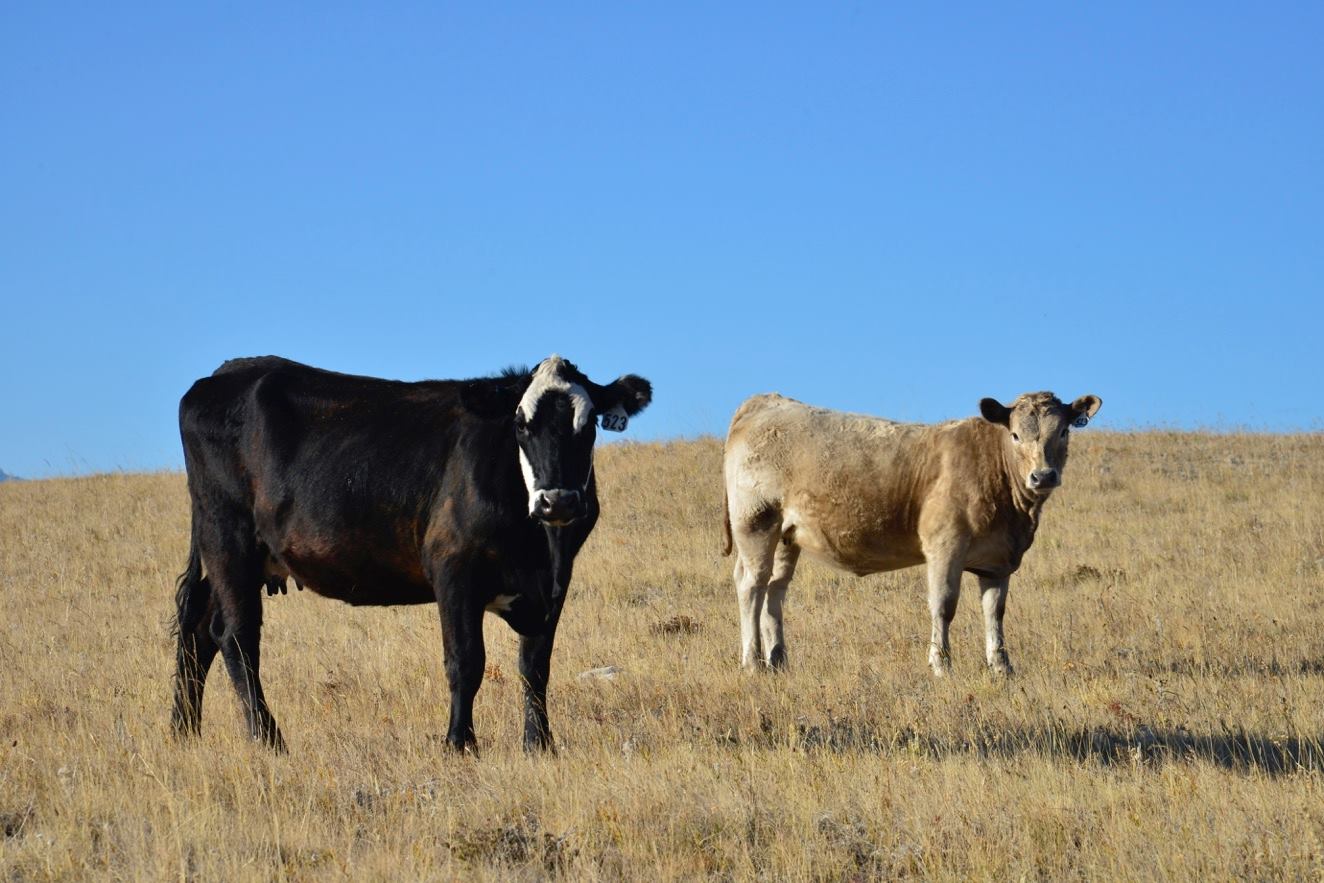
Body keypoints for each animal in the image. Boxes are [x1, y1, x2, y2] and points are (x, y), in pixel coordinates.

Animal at [173, 354, 648, 751]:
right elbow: (466, 661)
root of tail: (226, 372)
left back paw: (184, 732)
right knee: (236, 636)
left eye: (588, 426)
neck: (538, 547)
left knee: (199, 629)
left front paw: (539, 745)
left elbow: (534, 666)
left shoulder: (553, 583)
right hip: (227, 536)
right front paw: (459, 744)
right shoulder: (453, 568)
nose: (558, 502)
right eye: (520, 424)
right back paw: (268, 740)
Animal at [720, 389, 1101, 672]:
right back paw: (752, 662)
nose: (1043, 475)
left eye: (1063, 431)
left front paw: (1001, 667)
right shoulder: (945, 545)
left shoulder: (997, 560)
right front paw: (941, 664)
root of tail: (765, 401)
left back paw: (778, 660)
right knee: (751, 585)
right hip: (756, 522)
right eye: (1016, 434)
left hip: (787, 535)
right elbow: (943, 604)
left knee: (775, 589)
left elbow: (995, 611)